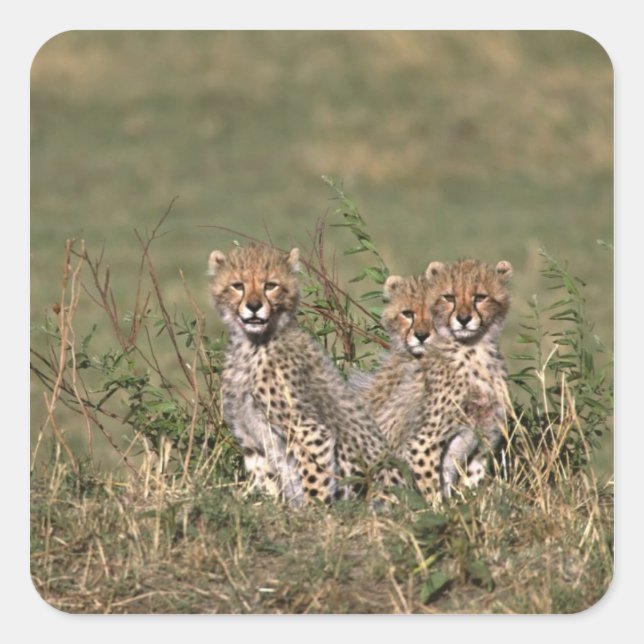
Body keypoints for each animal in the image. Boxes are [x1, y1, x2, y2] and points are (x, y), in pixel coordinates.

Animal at [208, 242, 398, 507]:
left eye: (270, 285)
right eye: (238, 285)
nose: (254, 306)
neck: (252, 344)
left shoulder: (310, 430)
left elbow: (314, 479)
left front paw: (314, 510)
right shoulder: (251, 440)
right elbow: (265, 479)